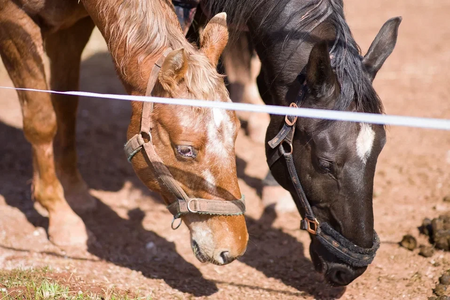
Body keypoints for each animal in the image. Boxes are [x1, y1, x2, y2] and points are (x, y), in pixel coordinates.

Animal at [0, 1, 248, 266]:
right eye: (185, 150)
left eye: (235, 136)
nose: (234, 247)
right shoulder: (14, 22)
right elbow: (42, 121)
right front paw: (60, 213)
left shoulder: (73, 29)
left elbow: (66, 106)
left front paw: (74, 189)